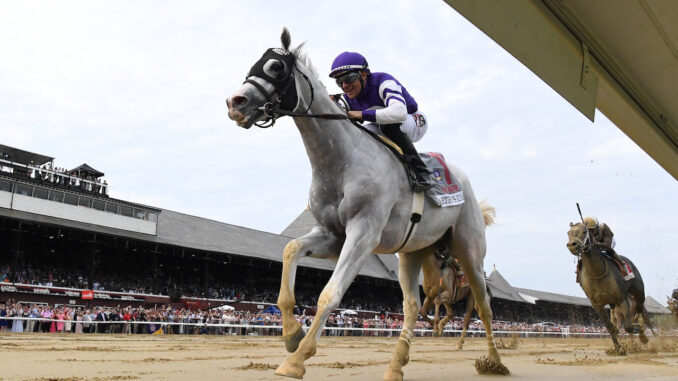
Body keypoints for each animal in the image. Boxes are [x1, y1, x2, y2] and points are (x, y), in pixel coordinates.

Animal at [228, 28, 504, 378]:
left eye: (276, 67)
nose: (235, 102)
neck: (342, 161)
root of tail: (465, 185)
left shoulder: (363, 235)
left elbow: (329, 294)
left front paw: (297, 359)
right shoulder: (333, 235)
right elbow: (290, 251)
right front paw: (292, 334)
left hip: (469, 250)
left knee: (483, 307)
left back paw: (494, 361)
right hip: (413, 253)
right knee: (412, 306)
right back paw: (396, 366)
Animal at [568, 221, 660, 352]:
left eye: (584, 232)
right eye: (568, 233)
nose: (572, 245)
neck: (597, 273)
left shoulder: (621, 299)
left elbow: (629, 327)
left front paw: (639, 338)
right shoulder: (597, 305)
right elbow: (610, 327)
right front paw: (618, 348)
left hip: (639, 293)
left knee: (642, 313)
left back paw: (645, 336)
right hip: (614, 304)